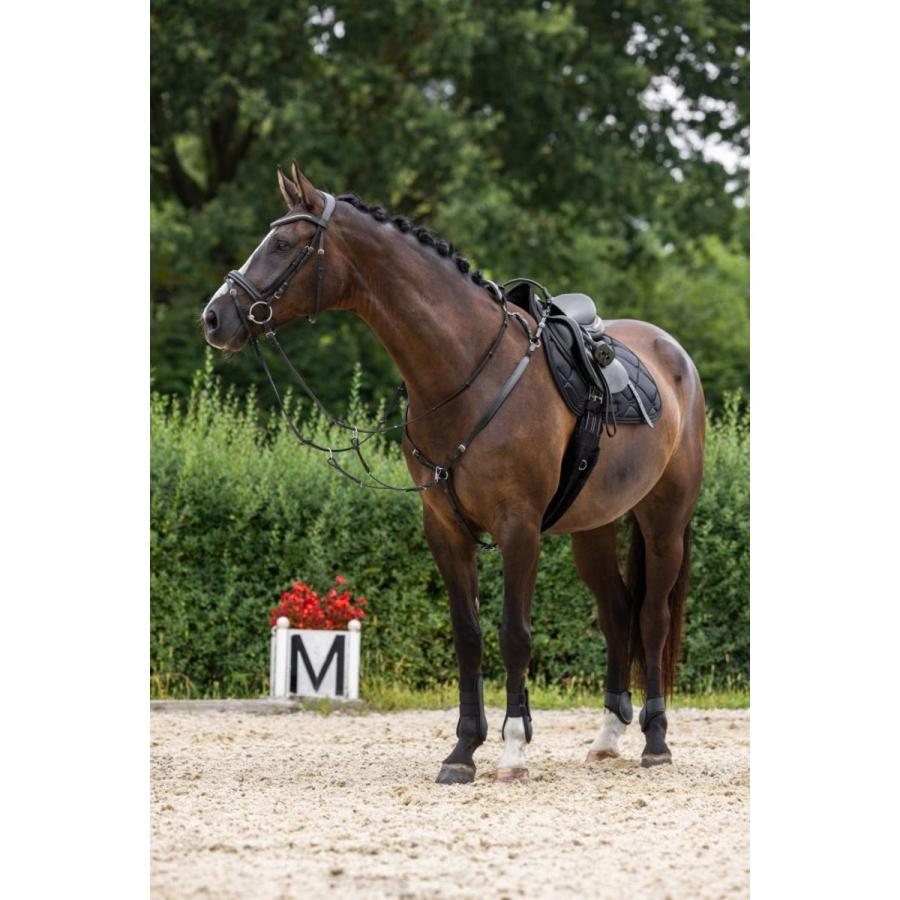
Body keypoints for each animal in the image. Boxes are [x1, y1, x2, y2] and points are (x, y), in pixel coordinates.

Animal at [202, 165, 705, 782]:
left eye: (282, 244)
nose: (214, 318)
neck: (465, 371)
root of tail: (673, 354)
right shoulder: (444, 528)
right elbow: (468, 635)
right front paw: (464, 749)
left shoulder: (518, 529)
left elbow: (514, 635)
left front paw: (513, 750)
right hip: (594, 528)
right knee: (617, 613)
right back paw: (608, 736)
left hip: (664, 522)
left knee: (653, 618)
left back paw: (655, 741)